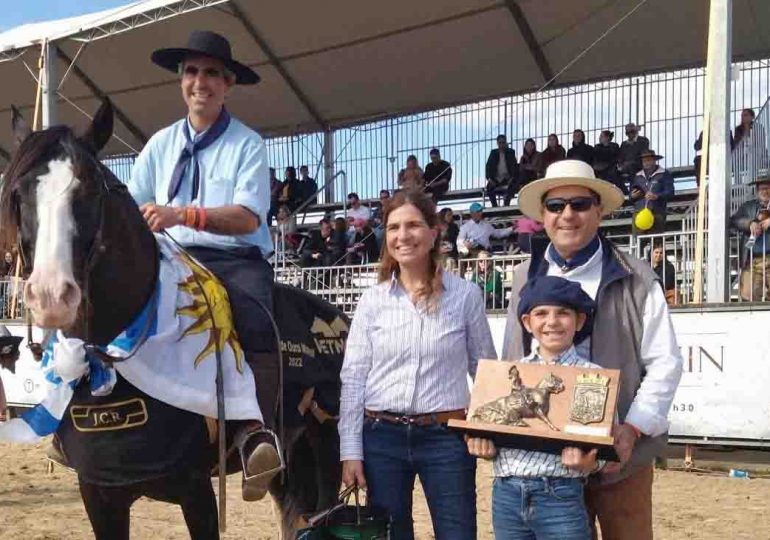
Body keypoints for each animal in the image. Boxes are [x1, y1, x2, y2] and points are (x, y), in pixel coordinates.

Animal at [0, 102, 342, 540]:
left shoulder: (195, 490)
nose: (51, 295)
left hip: (330, 449)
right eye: (19, 194)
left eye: (89, 190)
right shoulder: (99, 493)